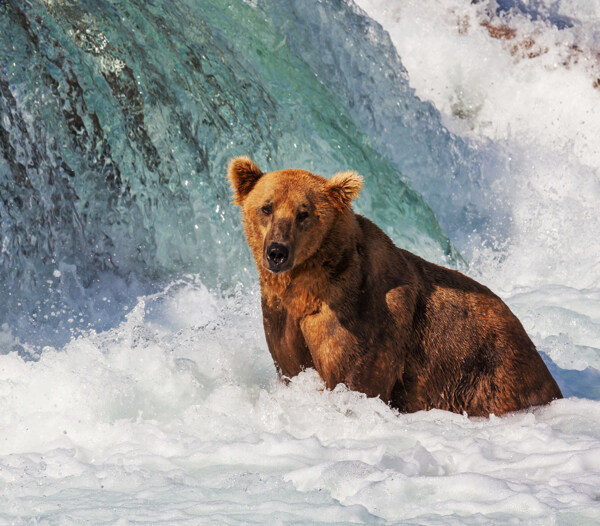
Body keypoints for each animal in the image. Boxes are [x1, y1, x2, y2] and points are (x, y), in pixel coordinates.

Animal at [229, 156, 564, 416]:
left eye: (304, 213)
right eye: (266, 207)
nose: (277, 251)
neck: (307, 287)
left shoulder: (366, 319)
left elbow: (353, 380)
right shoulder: (281, 319)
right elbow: (291, 365)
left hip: (489, 374)